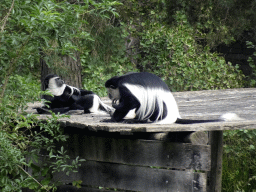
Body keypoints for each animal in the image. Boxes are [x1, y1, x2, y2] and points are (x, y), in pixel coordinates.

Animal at [104, 72, 240, 124]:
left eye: (109, 90)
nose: (109, 96)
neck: (119, 81)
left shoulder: (125, 88)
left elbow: (132, 103)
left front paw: (115, 109)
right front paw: (113, 118)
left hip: (158, 103)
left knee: (153, 107)